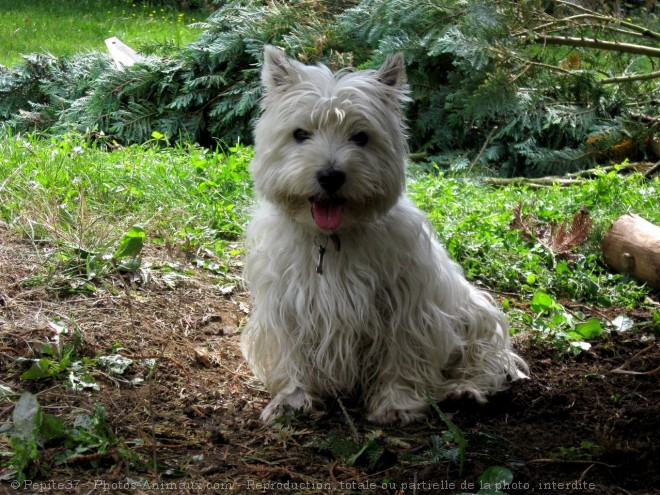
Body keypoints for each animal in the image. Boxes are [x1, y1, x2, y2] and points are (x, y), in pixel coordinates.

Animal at [241, 47, 524, 426]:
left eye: (360, 137)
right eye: (300, 134)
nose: (330, 176)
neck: (331, 239)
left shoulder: (405, 307)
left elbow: (402, 355)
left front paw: (397, 403)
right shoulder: (286, 304)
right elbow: (292, 354)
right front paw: (292, 399)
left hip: (475, 316)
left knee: (486, 361)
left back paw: (463, 390)